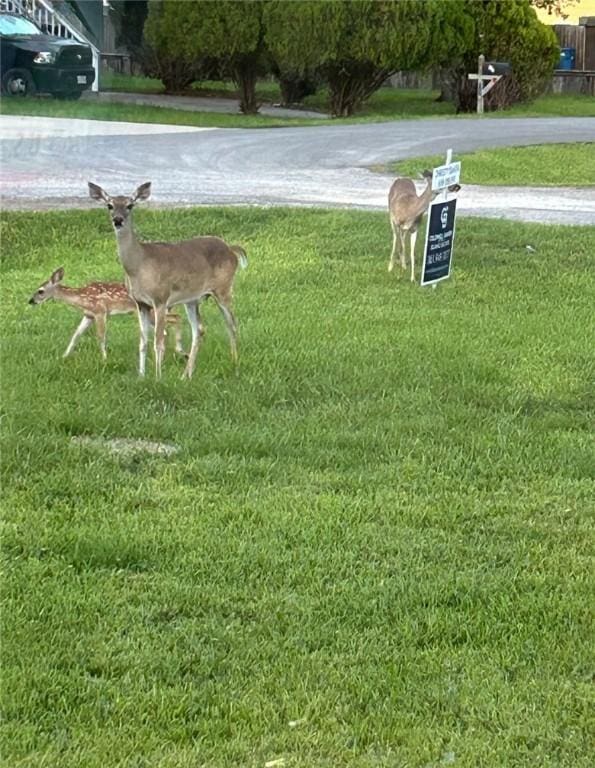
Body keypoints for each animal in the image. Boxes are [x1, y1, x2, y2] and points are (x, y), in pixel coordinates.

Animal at [28, 268, 185, 362]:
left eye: (40, 291)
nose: (31, 301)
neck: (82, 298)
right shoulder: (89, 315)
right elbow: (76, 335)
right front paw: (64, 355)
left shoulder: (100, 311)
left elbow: (101, 336)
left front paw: (104, 359)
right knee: (168, 326)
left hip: (151, 312)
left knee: (174, 321)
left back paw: (177, 351)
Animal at [88, 183, 247, 380]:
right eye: (109, 205)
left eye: (129, 205)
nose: (118, 220)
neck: (139, 266)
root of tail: (231, 249)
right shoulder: (141, 303)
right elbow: (143, 342)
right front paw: (141, 376)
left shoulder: (160, 299)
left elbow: (158, 341)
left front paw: (158, 377)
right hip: (192, 299)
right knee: (199, 330)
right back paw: (186, 375)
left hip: (223, 288)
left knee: (232, 324)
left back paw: (235, 364)